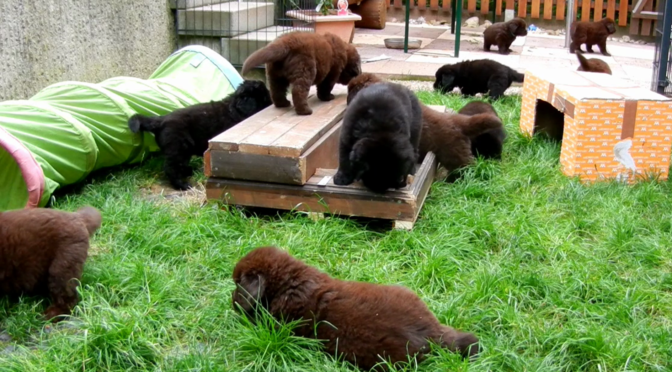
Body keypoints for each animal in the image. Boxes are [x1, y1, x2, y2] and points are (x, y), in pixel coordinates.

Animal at [129, 78, 270, 189]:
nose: (272, 103)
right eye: (264, 98)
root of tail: (161, 120)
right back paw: (182, 185)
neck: (234, 108)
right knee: (171, 167)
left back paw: (188, 171)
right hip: (179, 147)